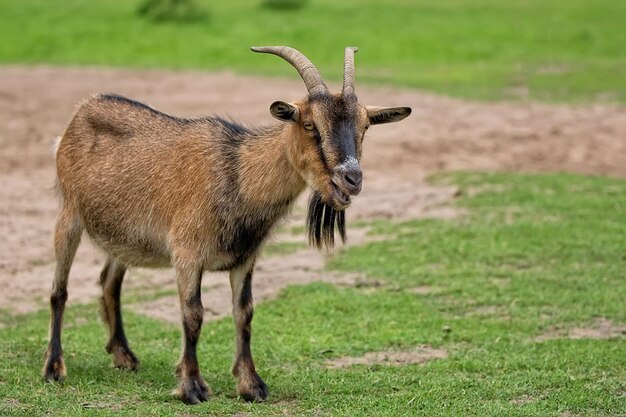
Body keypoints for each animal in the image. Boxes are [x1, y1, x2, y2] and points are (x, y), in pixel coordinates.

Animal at [44, 45, 412, 404]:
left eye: (365, 126)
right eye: (309, 125)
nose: (352, 179)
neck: (237, 173)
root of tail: (83, 109)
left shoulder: (244, 258)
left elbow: (244, 313)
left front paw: (251, 385)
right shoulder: (187, 253)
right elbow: (193, 314)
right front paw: (192, 386)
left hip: (121, 234)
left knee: (109, 282)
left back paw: (124, 356)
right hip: (69, 214)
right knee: (59, 290)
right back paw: (54, 367)